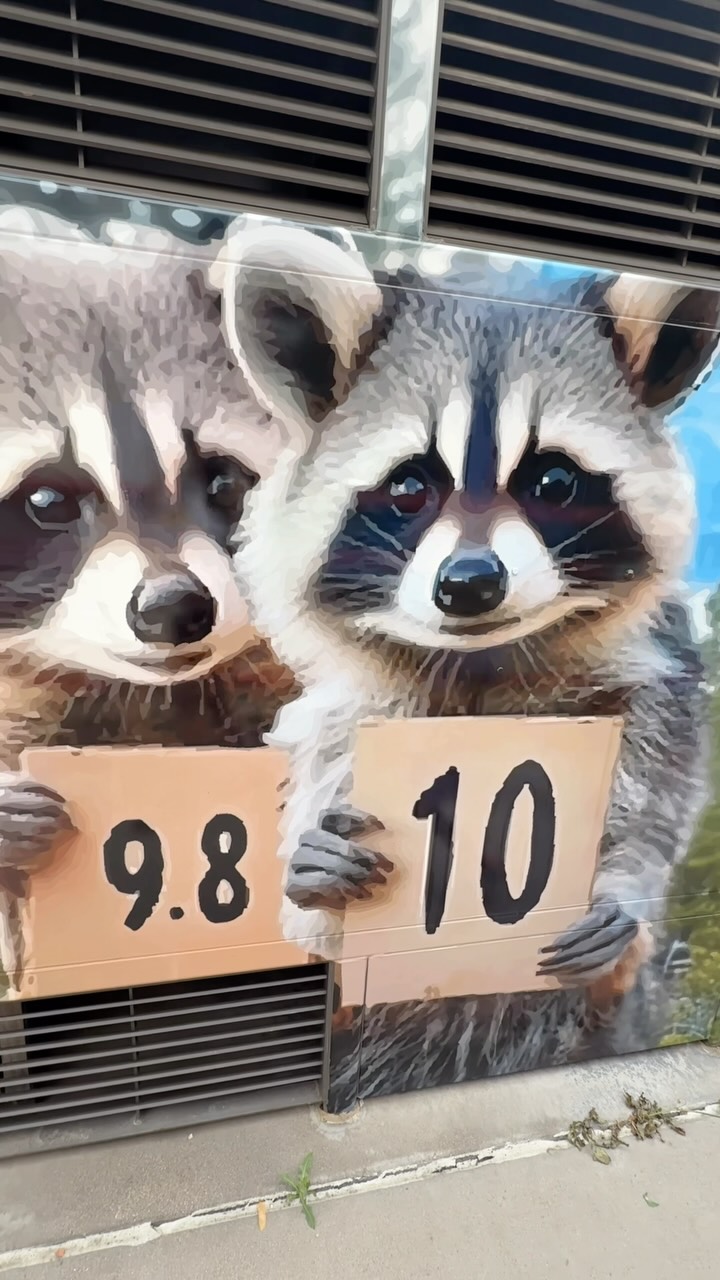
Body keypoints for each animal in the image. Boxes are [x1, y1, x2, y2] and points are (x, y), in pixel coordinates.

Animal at [218, 223, 717, 1086]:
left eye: (553, 481)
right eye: (410, 486)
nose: (470, 584)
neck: (485, 662)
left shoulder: (658, 688)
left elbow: (656, 792)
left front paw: (624, 887)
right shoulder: (348, 716)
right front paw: (312, 890)